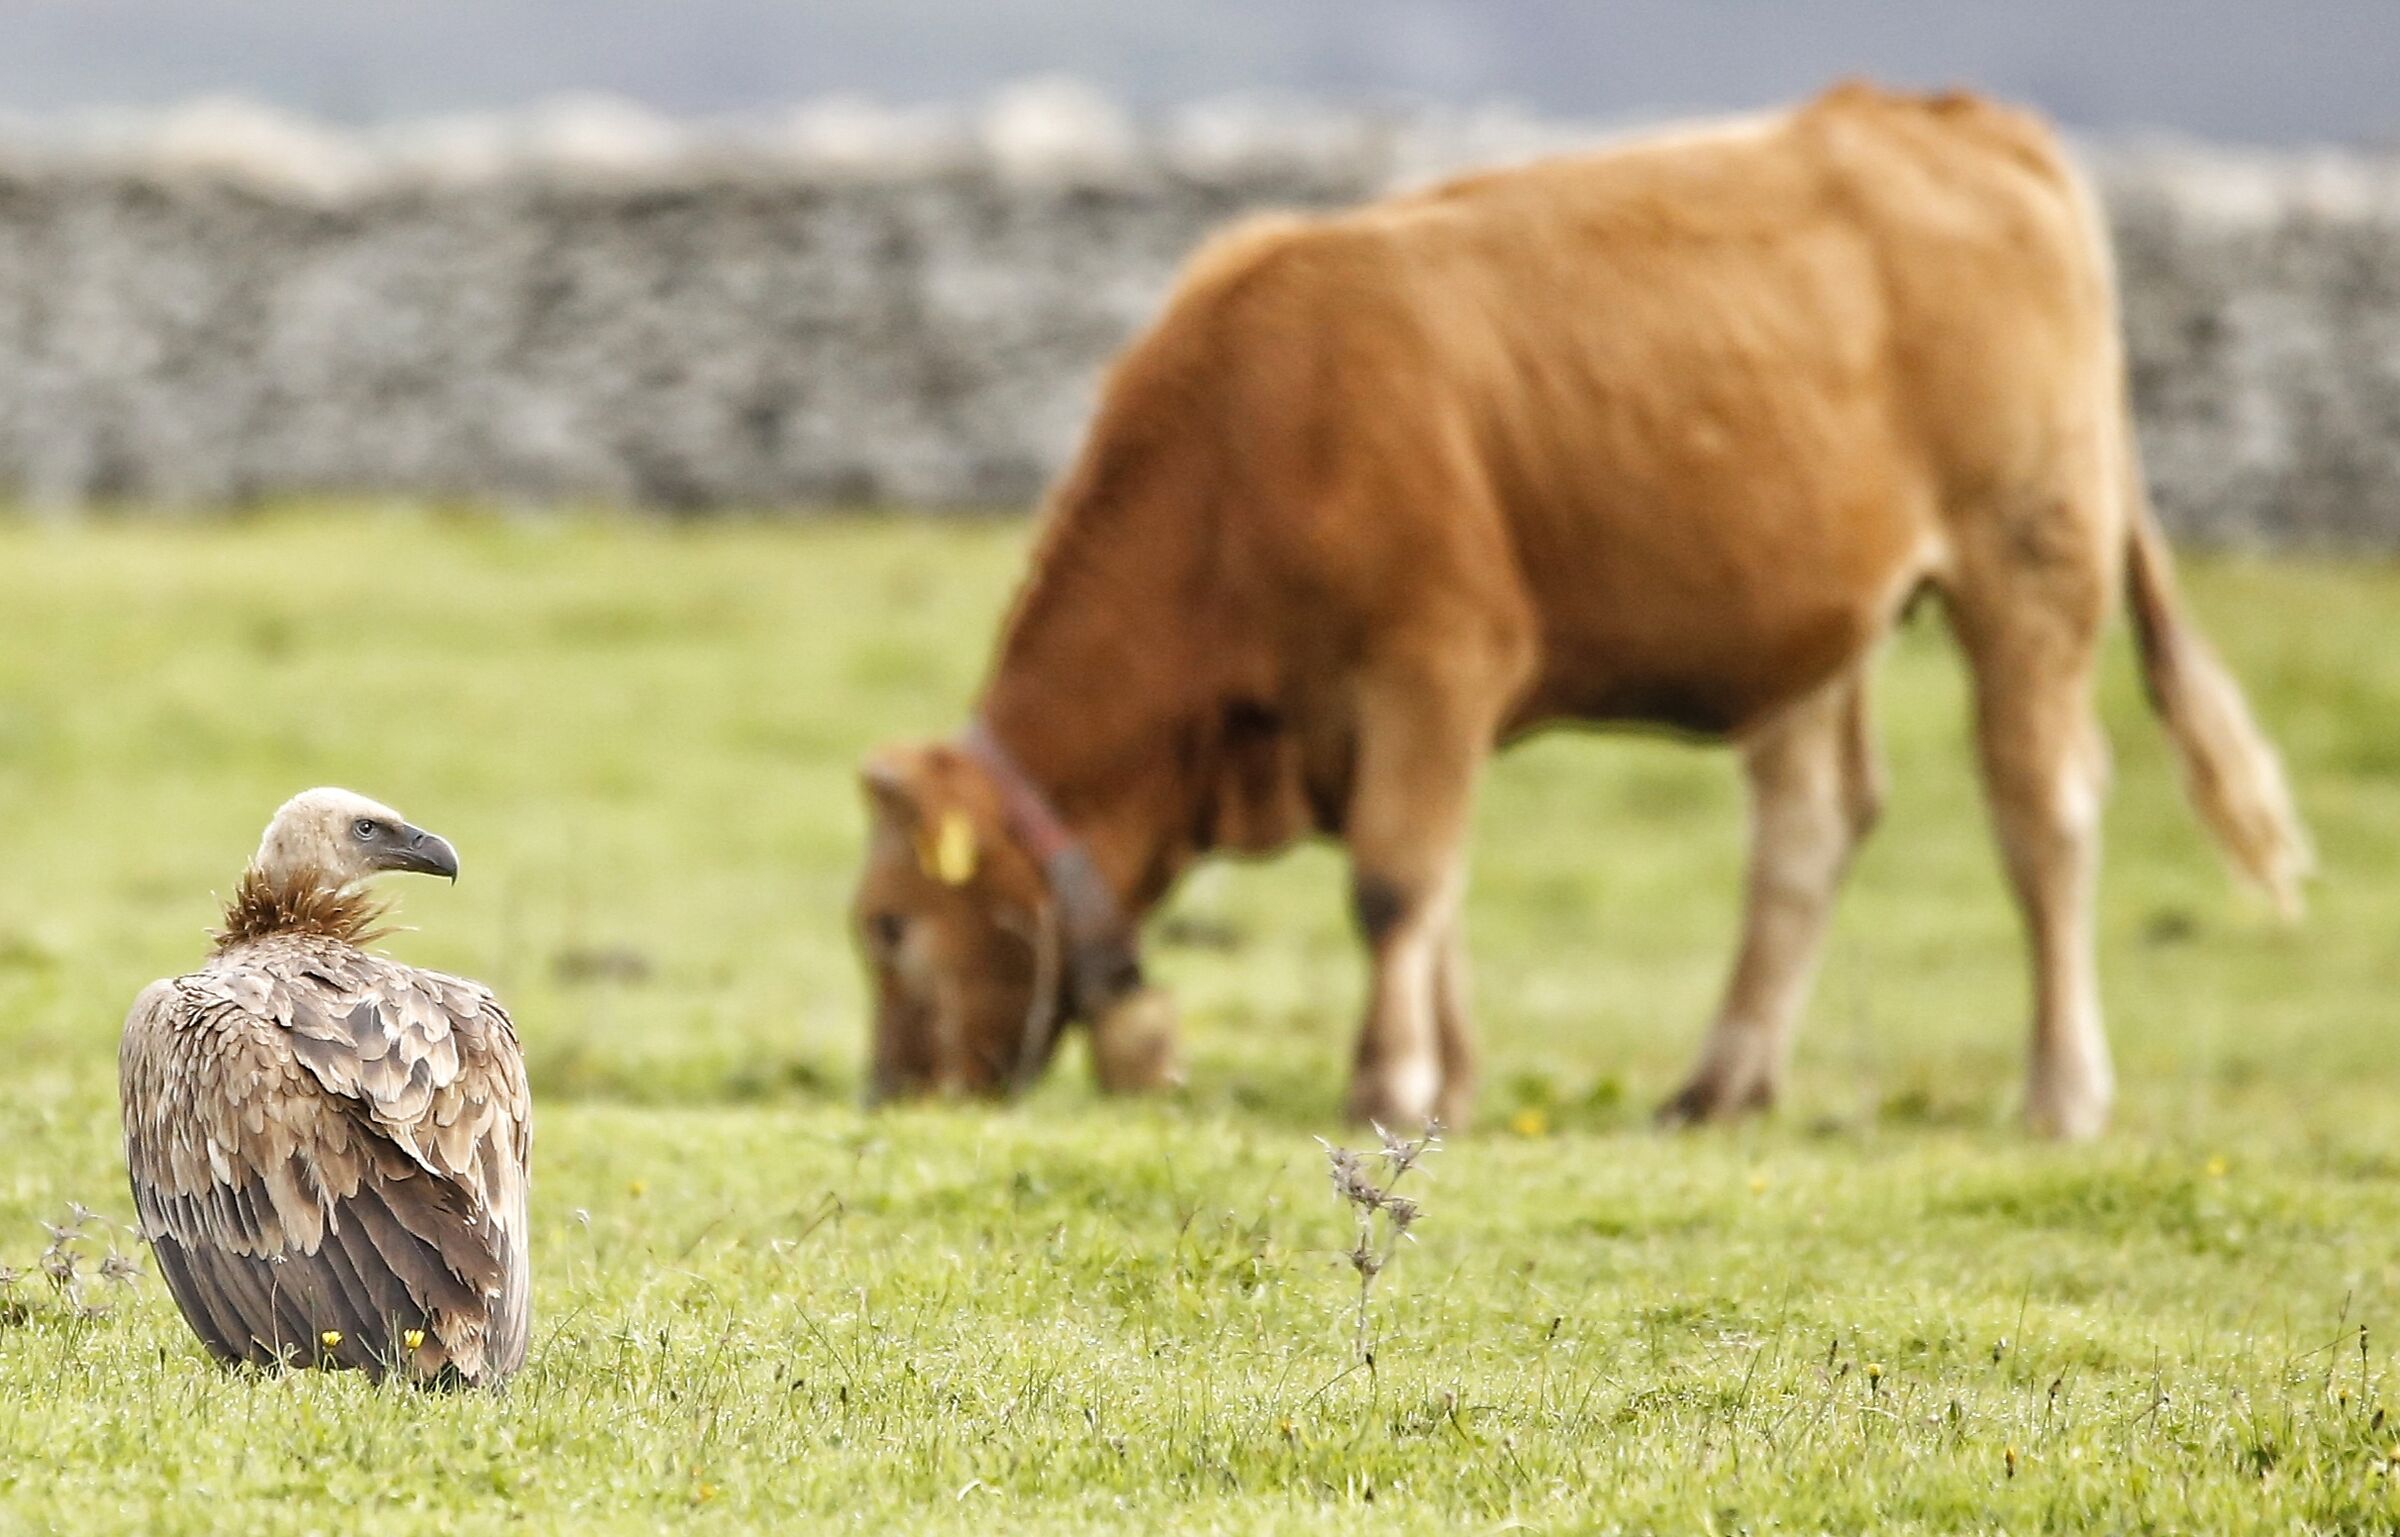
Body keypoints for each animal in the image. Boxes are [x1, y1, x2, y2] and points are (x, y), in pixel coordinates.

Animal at [851, 82, 2311, 1140]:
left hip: (2029, 558)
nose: (893, 1094)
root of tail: (1951, 117)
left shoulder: (1435, 662)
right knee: (1809, 830)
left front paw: (1387, 1085)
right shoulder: (1387, 717)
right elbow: (1435, 891)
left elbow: (1395, 883)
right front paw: (1449, 1080)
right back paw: (1720, 1085)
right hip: (1813, 617)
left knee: (2041, 815)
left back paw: (2060, 1093)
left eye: (885, 926)